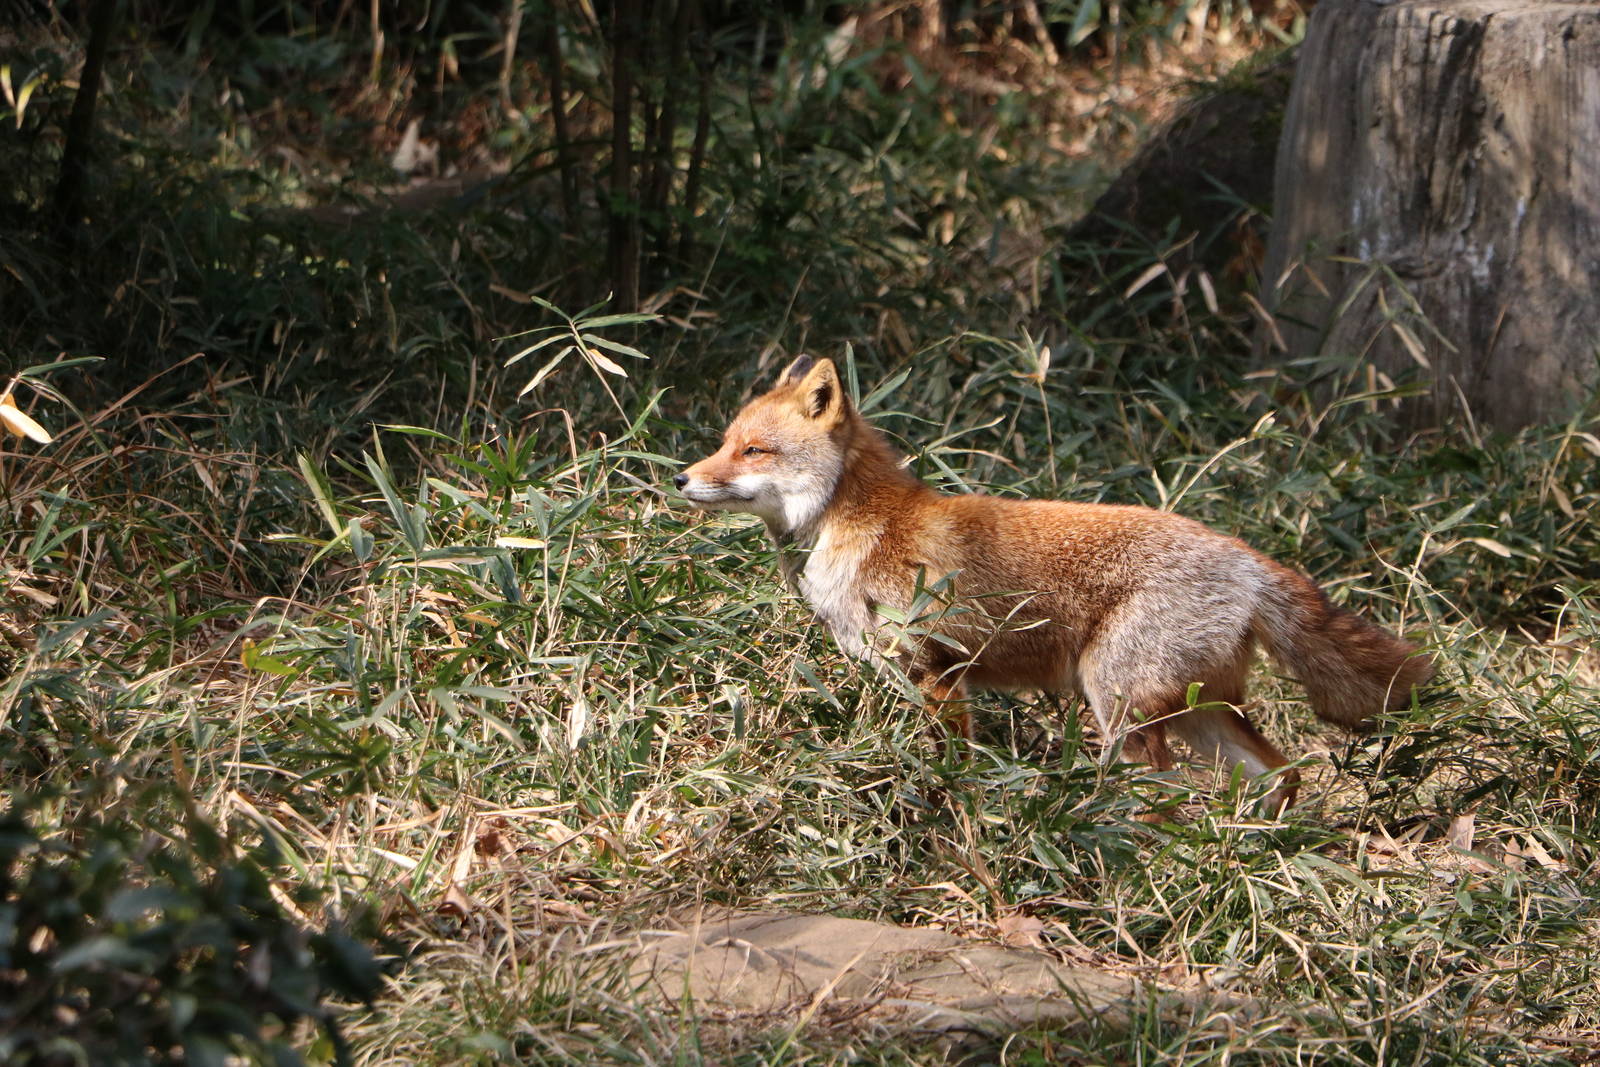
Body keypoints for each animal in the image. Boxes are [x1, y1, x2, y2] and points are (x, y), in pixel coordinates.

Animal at [675, 355, 1433, 808]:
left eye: (754, 450)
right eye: (724, 441)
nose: (681, 478)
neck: (858, 526)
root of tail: (1247, 557)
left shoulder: (938, 671)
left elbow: (951, 764)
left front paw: (950, 806)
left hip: (1119, 704)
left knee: (1163, 795)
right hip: (1199, 714)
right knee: (1285, 775)